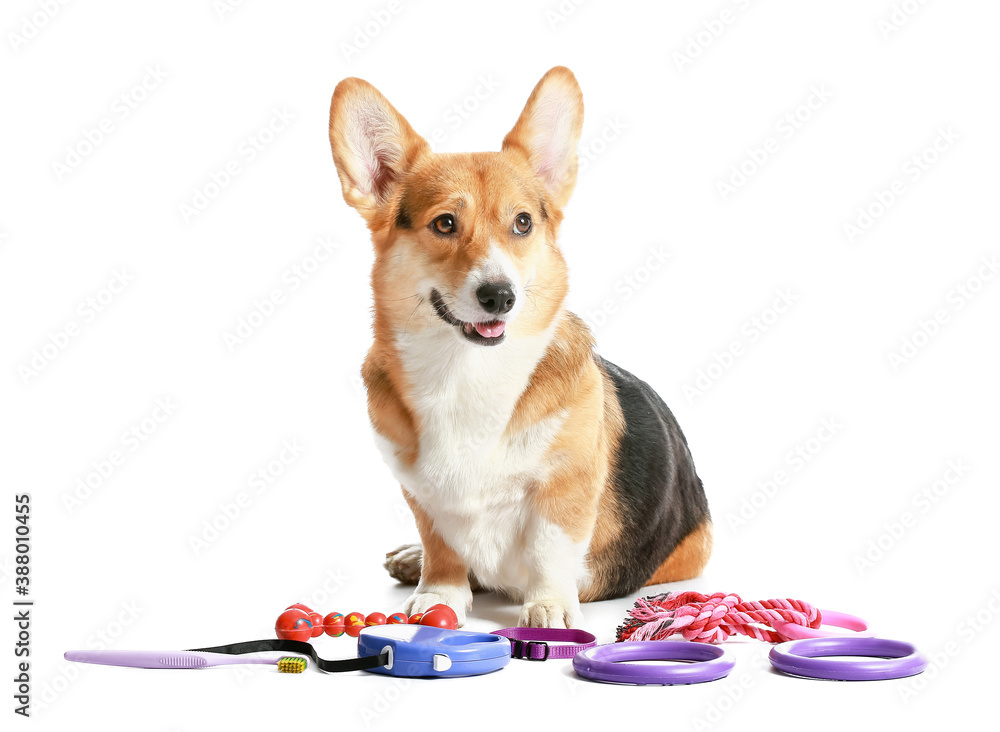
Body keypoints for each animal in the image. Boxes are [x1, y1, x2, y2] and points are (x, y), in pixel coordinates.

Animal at [328, 70, 712, 628]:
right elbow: (441, 544)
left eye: (524, 222)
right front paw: (438, 592)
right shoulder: (422, 493)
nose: (500, 296)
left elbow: (549, 548)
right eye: (445, 223)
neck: (466, 373)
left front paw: (548, 605)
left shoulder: (565, 486)